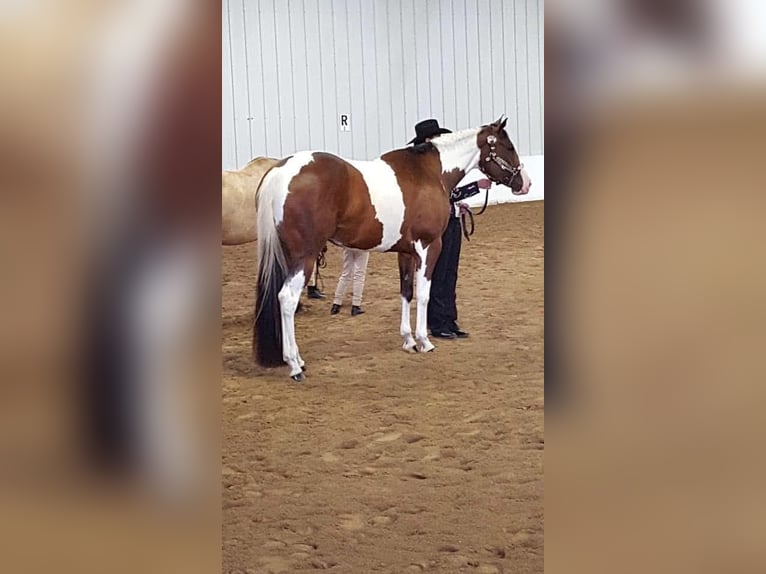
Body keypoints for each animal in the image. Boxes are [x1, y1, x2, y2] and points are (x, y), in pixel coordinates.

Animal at [253, 117, 530, 381]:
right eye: (508, 147)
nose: (525, 183)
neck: (431, 173)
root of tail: (280, 172)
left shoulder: (406, 252)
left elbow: (406, 292)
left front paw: (408, 341)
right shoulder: (429, 246)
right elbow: (424, 294)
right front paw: (425, 341)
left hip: (288, 255)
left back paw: (296, 361)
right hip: (305, 256)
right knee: (287, 299)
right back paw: (294, 365)